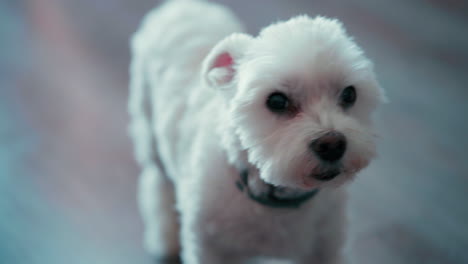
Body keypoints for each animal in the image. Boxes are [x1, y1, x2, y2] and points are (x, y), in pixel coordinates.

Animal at [127, 1, 384, 262]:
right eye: (277, 101)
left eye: (349, 94)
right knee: (158, 185)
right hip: (150, 137)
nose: (332, 145)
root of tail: (182, 6)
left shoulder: (326, 244)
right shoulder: (208, 247)